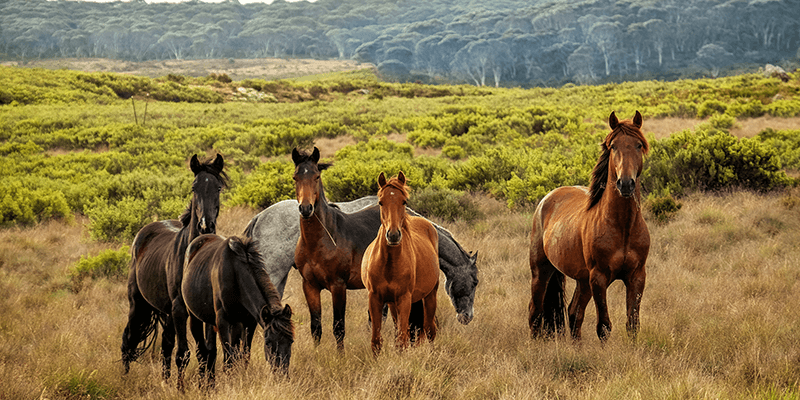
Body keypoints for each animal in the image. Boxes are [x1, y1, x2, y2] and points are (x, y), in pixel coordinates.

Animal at [122, 154, 228, 390]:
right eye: (194, 187)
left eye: (218, 187)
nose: (206, 225)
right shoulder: (180, 309)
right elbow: (184, 353)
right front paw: (181, 389)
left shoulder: (204, 312)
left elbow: (208, 351)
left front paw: (208, 386)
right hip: (138, 304)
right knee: (128, 339)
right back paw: (123, 378)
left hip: (167, 312)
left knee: (166, 346)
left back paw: (165, 380)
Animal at [181, 234, 294, 384]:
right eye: (268, 343)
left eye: (291, 341)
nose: (282, 375)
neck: (236, 274)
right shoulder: (222, 321)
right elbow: (229, 358)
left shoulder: (249, 322)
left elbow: (244, 355)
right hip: (195, 318)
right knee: (202, 352)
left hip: (227, 323)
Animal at [360, 170, 438, 354]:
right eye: (380, 202)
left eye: (404, 201)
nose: (393, 235)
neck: (389, 263)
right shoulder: (376, 298)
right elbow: (377, 340)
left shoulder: (404, 299)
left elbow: (402, 340)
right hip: (393, 303)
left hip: (430, 295)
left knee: (430, 329)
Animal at [532, 111, 648, 342]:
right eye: (613, 146)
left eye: (638, 145)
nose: (625, 184)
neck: (623, 226)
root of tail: (546, 199)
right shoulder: (599, 279)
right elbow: (603, 326)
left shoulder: (637, 277)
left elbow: (632, 324)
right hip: (541, 272)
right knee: (535, 311)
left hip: (582, 280)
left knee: (573, 312)